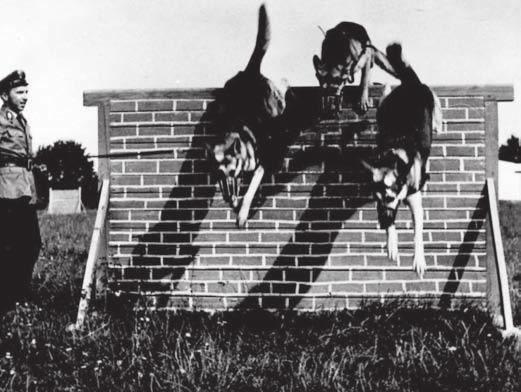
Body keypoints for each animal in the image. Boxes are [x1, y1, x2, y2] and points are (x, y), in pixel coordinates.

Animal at [207, 4, 286, 228]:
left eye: (232, 172)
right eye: (219, 175)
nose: (227, 199)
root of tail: (249, 71)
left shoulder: (261, 166)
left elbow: (250, 191)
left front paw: (242, 213)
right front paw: (236, 206)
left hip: (274, 104)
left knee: (283, 92)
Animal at [362, 43, 442, 278]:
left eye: (389, 197)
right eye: (376, 199)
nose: (382, 222)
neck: (393, 156)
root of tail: (410, 85)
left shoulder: (415, 203)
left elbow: (418, 234)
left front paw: (419, 259)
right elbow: (393, 227)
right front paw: (392, 242)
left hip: (430, 101)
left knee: (436, 110)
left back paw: (437, 125)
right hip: (384, 105)